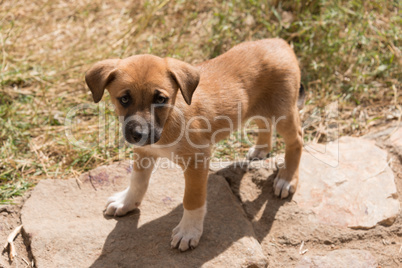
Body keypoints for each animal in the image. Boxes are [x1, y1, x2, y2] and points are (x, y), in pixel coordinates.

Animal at [85, 37, 304, 251]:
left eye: (161, 99)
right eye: (124, 99)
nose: (140, 134)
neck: (169, 120)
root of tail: (279, 41)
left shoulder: (197, 161)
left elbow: (192, 199)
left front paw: (188, 231)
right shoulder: (144, 151)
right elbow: (137, 181)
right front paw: (126, 202)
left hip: (283, 112)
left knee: (297, 140)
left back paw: (286, 179)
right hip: (258, 108)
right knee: (264, 123)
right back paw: (261, 149)